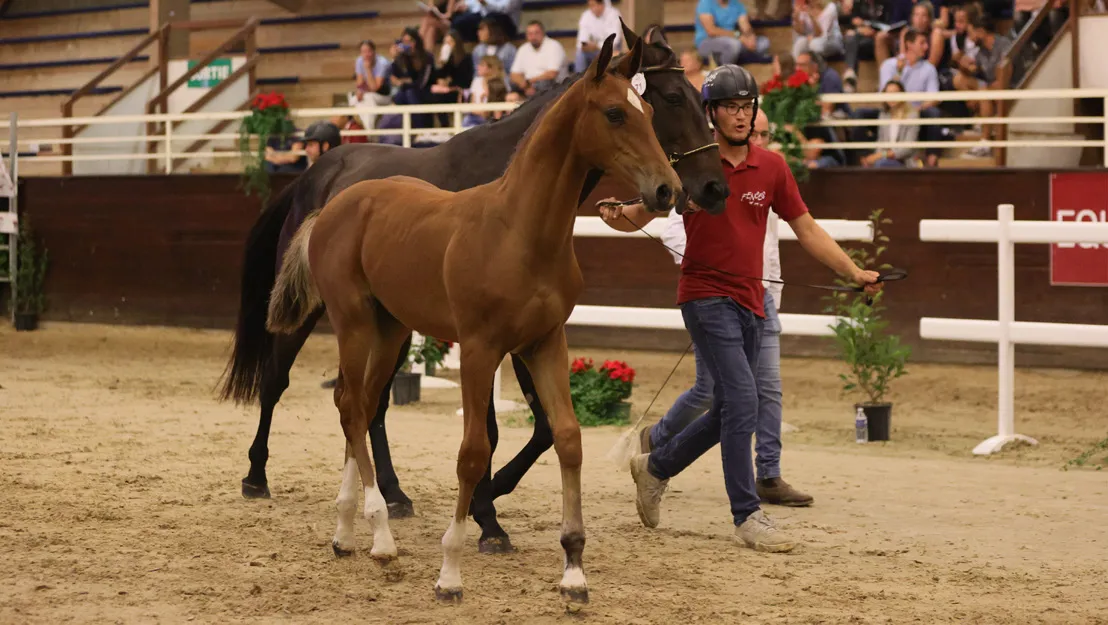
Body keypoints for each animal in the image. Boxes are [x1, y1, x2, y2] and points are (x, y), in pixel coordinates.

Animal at [216, 22, 726, 551]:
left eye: (655, 108)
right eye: (670, 98)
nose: (708, 187)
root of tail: (312, 178)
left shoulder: (530, 338)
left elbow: (543, 430)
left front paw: (492, 498)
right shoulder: (487, 341)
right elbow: (497, 431)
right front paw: (487, 513)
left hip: (392, 323)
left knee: (368, 404)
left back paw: (391, 495)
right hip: (324, 313)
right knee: (281, 380)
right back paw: (257, 476)